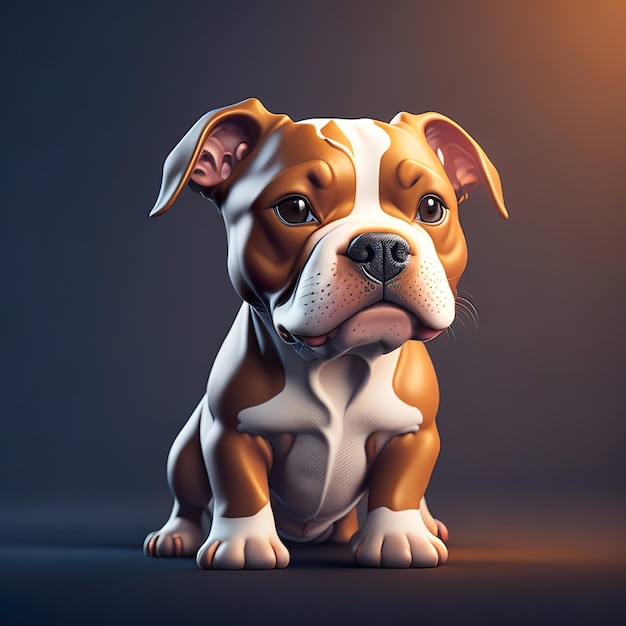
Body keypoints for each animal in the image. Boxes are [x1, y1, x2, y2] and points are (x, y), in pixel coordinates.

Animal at [144, 96, 504, 564]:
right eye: (294, 209)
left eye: (430, 208)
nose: (381, 246)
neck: (342, 361)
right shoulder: (230, 431)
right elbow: (239, 486)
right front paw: (245, 543)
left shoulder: (413, 431)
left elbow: (401, 483)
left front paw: (399, 537)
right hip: (186, 447)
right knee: (187, 495)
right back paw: (176, 535)